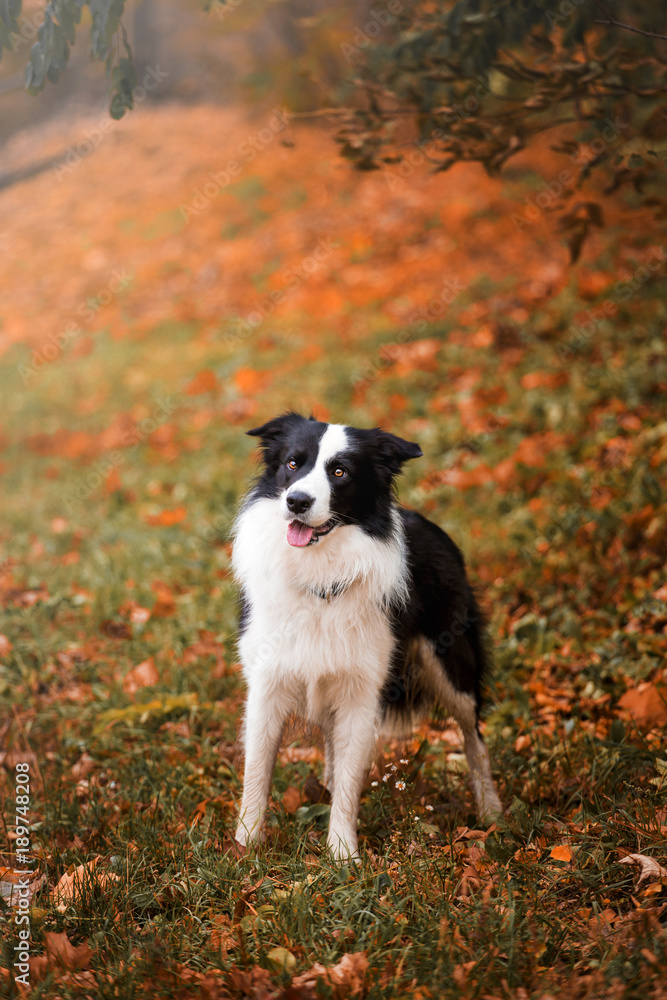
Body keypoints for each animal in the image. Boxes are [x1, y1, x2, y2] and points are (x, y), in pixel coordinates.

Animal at [235, 414, 500, 860]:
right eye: (293, 464)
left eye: (340, 472)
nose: (297, 502)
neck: (321, 574)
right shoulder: (267, 683)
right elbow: (257, 771)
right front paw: (245, 847)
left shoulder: (362, 692)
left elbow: (350, 780)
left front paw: (343, 854)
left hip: (451, 663)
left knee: (473, 737)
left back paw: (492, 811)